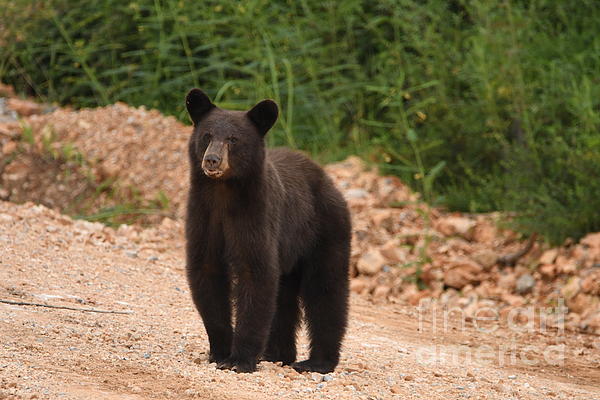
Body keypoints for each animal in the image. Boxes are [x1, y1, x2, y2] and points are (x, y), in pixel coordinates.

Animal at [185, 89, 350, 374]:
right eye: (207, 135)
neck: (223, 193)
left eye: (233, 139)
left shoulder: (256, 215)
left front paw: (239, 360)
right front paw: (220, 352)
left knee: (326, 291)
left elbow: (255, 273)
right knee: (283, 298)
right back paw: (276, 354)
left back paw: (317, 362)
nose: (212, 159)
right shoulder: (203, 215)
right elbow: (206, 272)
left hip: (325, 231)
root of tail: (328, 180)